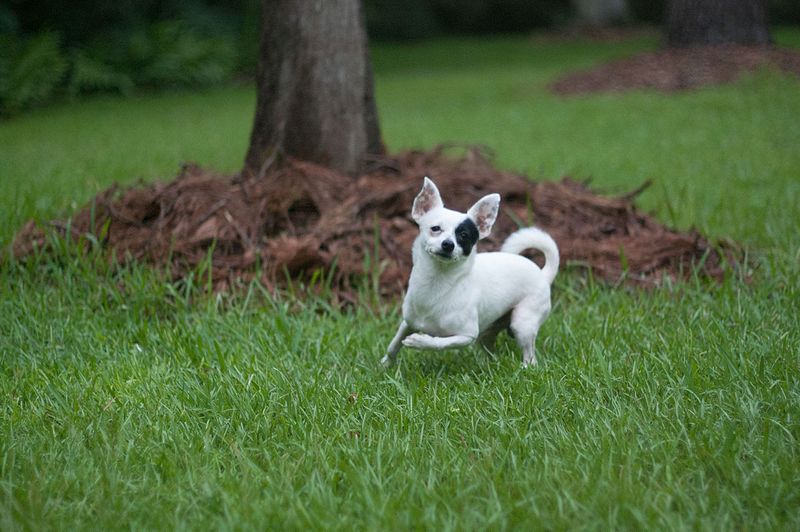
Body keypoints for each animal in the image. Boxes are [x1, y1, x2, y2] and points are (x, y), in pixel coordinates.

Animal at [382, 177, 560, 368]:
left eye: (464, 236)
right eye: (435, 228)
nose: (448, 244)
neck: (437, 281)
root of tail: (543, 274)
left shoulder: (466, 336)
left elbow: (440, 342)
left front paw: (420, 342)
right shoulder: (408, 323)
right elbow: (394, 344)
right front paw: (385, 364)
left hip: (522, 324)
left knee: (530, 355)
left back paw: (525, 367)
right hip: (489, 331)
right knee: (490, 348)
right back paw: (488, 365)